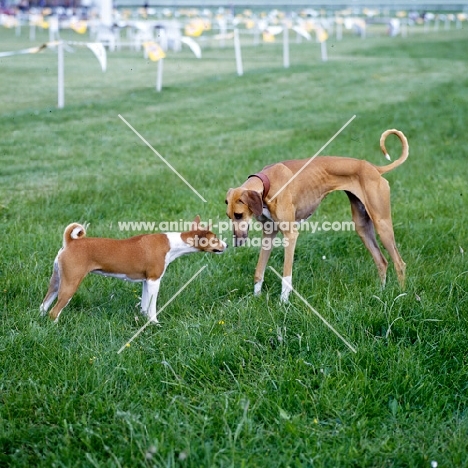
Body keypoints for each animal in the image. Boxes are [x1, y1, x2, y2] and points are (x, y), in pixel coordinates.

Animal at [41, 216, 228, 322]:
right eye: (215, 238)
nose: (226, 245)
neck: (173, 245)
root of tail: (70, 242)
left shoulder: (146, 282)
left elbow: (144, 305)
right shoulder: (154, 280)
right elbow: (152, 307)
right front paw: (154, 323)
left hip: (56, 282)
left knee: (43, 306)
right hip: (70, 284)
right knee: (54, 312)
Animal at [225, 130, 408, 302]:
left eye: (239, 215)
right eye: (229, 216)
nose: (236, 243)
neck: (268, 182)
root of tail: (373, 168)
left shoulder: (290, 235)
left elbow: (286, 276)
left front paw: (283, 303)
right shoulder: (269, 234)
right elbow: (259, 271)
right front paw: (256, 298)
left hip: (382, 224)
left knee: (399, 263)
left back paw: (401, 295)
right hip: (363, 227)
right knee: (382, 262)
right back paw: (381, 293)